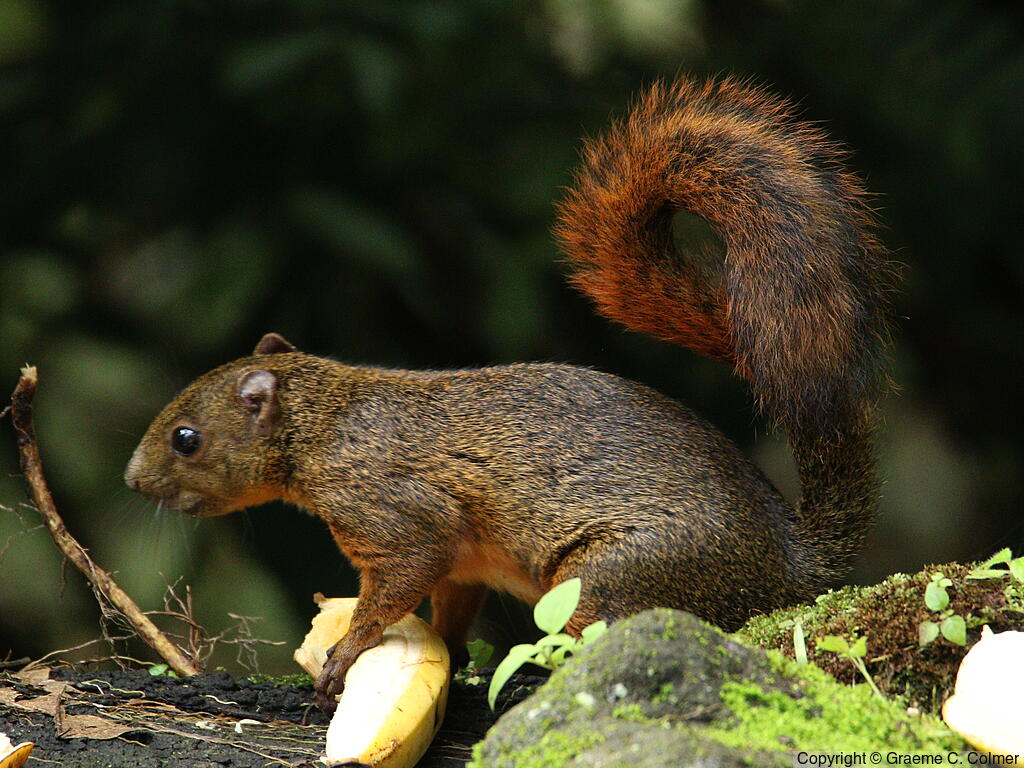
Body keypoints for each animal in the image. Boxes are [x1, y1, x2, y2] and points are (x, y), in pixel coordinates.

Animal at [124, 76, 894, 712]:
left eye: (186, 438)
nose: (132, 481)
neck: (325, 421)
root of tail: (794, 565)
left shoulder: (391, 508)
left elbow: (399, 578)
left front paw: (345, 655)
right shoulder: (462, 562)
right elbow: (450, 604)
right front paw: (450, 657)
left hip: (612, 578)